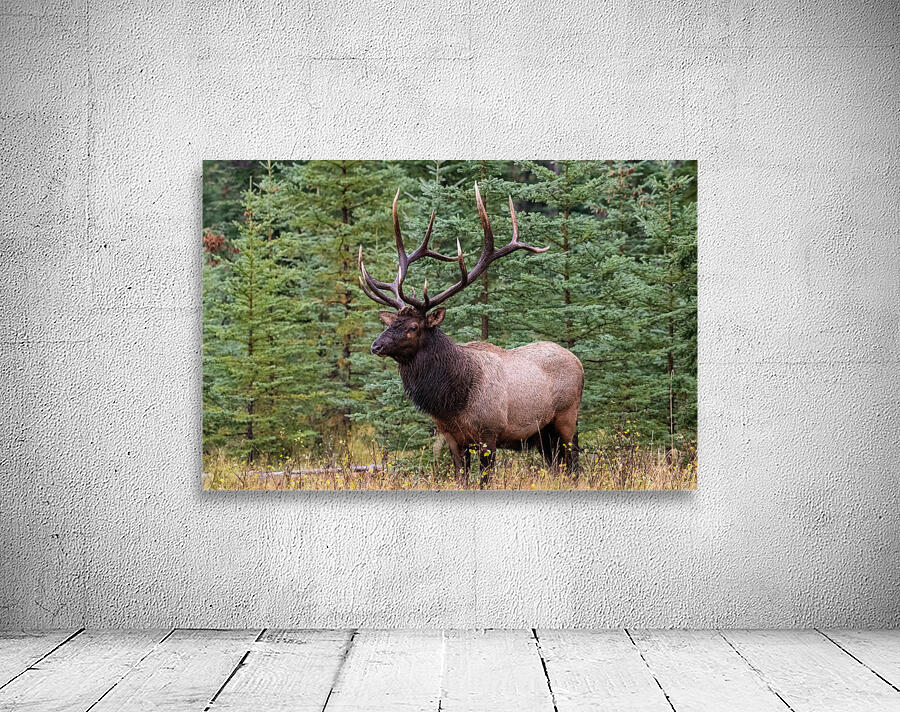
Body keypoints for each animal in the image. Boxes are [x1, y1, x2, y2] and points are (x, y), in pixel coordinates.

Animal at [358, 183, 584, 487]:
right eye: (391, 321)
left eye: (413, 327)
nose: (376, 345)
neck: (452, 401)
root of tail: (578, 361)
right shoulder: (452, 438)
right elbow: (461, 479)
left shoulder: (490, 433)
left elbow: (485, 480)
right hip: (543, 434)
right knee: (557, 465)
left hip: (566, 418)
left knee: (574, 463)